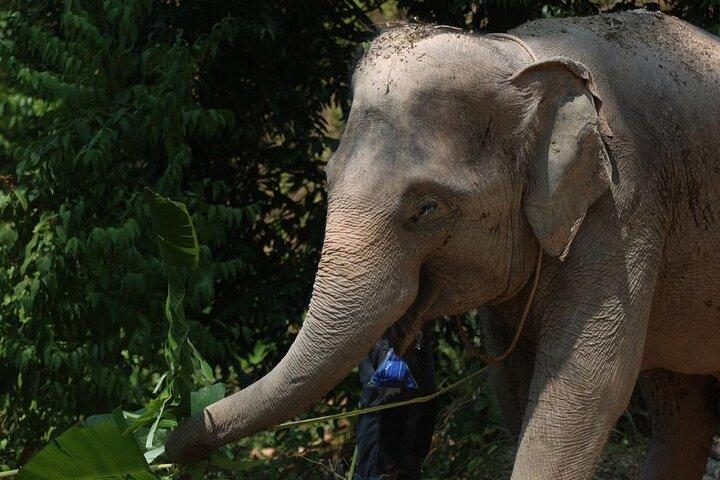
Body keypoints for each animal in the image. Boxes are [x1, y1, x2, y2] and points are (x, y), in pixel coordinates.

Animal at [165, 10, 720, 479]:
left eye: (427, 208)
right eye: (326, 179)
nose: (168, 441)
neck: (517, 55)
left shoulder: (623, 207)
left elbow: (584, 388)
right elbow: (513, 386)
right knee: (679, 404)